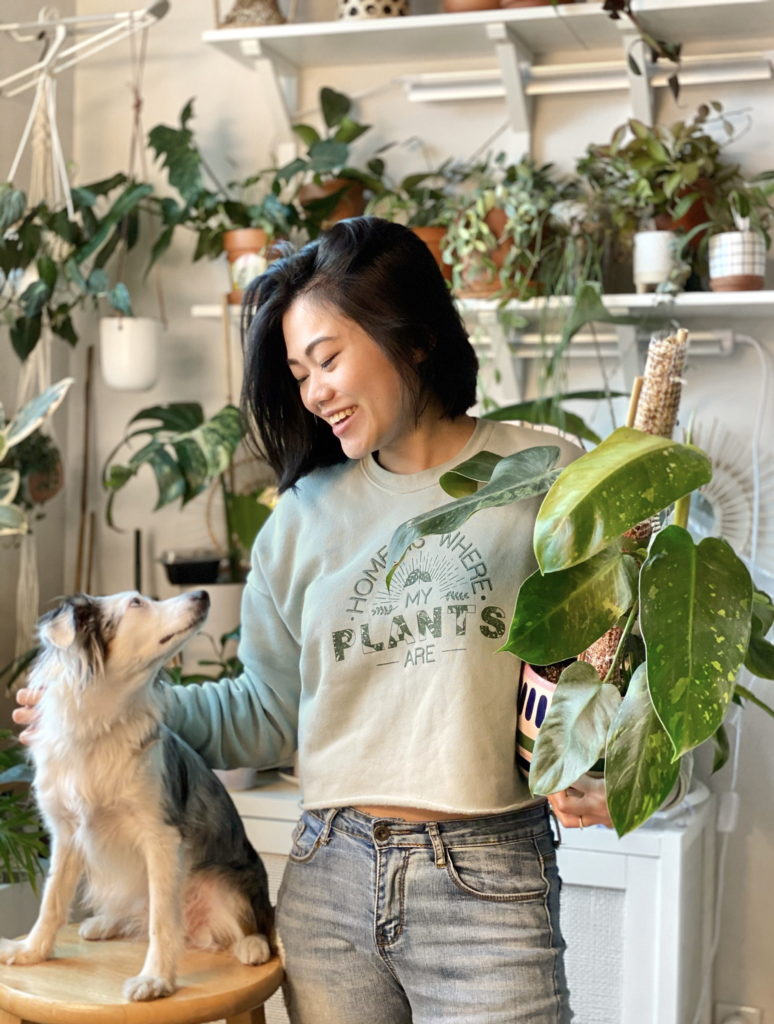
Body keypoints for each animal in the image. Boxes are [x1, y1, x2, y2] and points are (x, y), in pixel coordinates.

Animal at [0, 593, 274, 999]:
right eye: (136, 602)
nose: (203, 594)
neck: (101, 723)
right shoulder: (66, 833)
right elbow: (52, 899)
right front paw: (32, 951)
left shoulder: (160, 835)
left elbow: (162, 920)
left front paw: (155, 979)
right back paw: (103, 923)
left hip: (223, 883)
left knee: (250, 922)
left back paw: (252, 945)